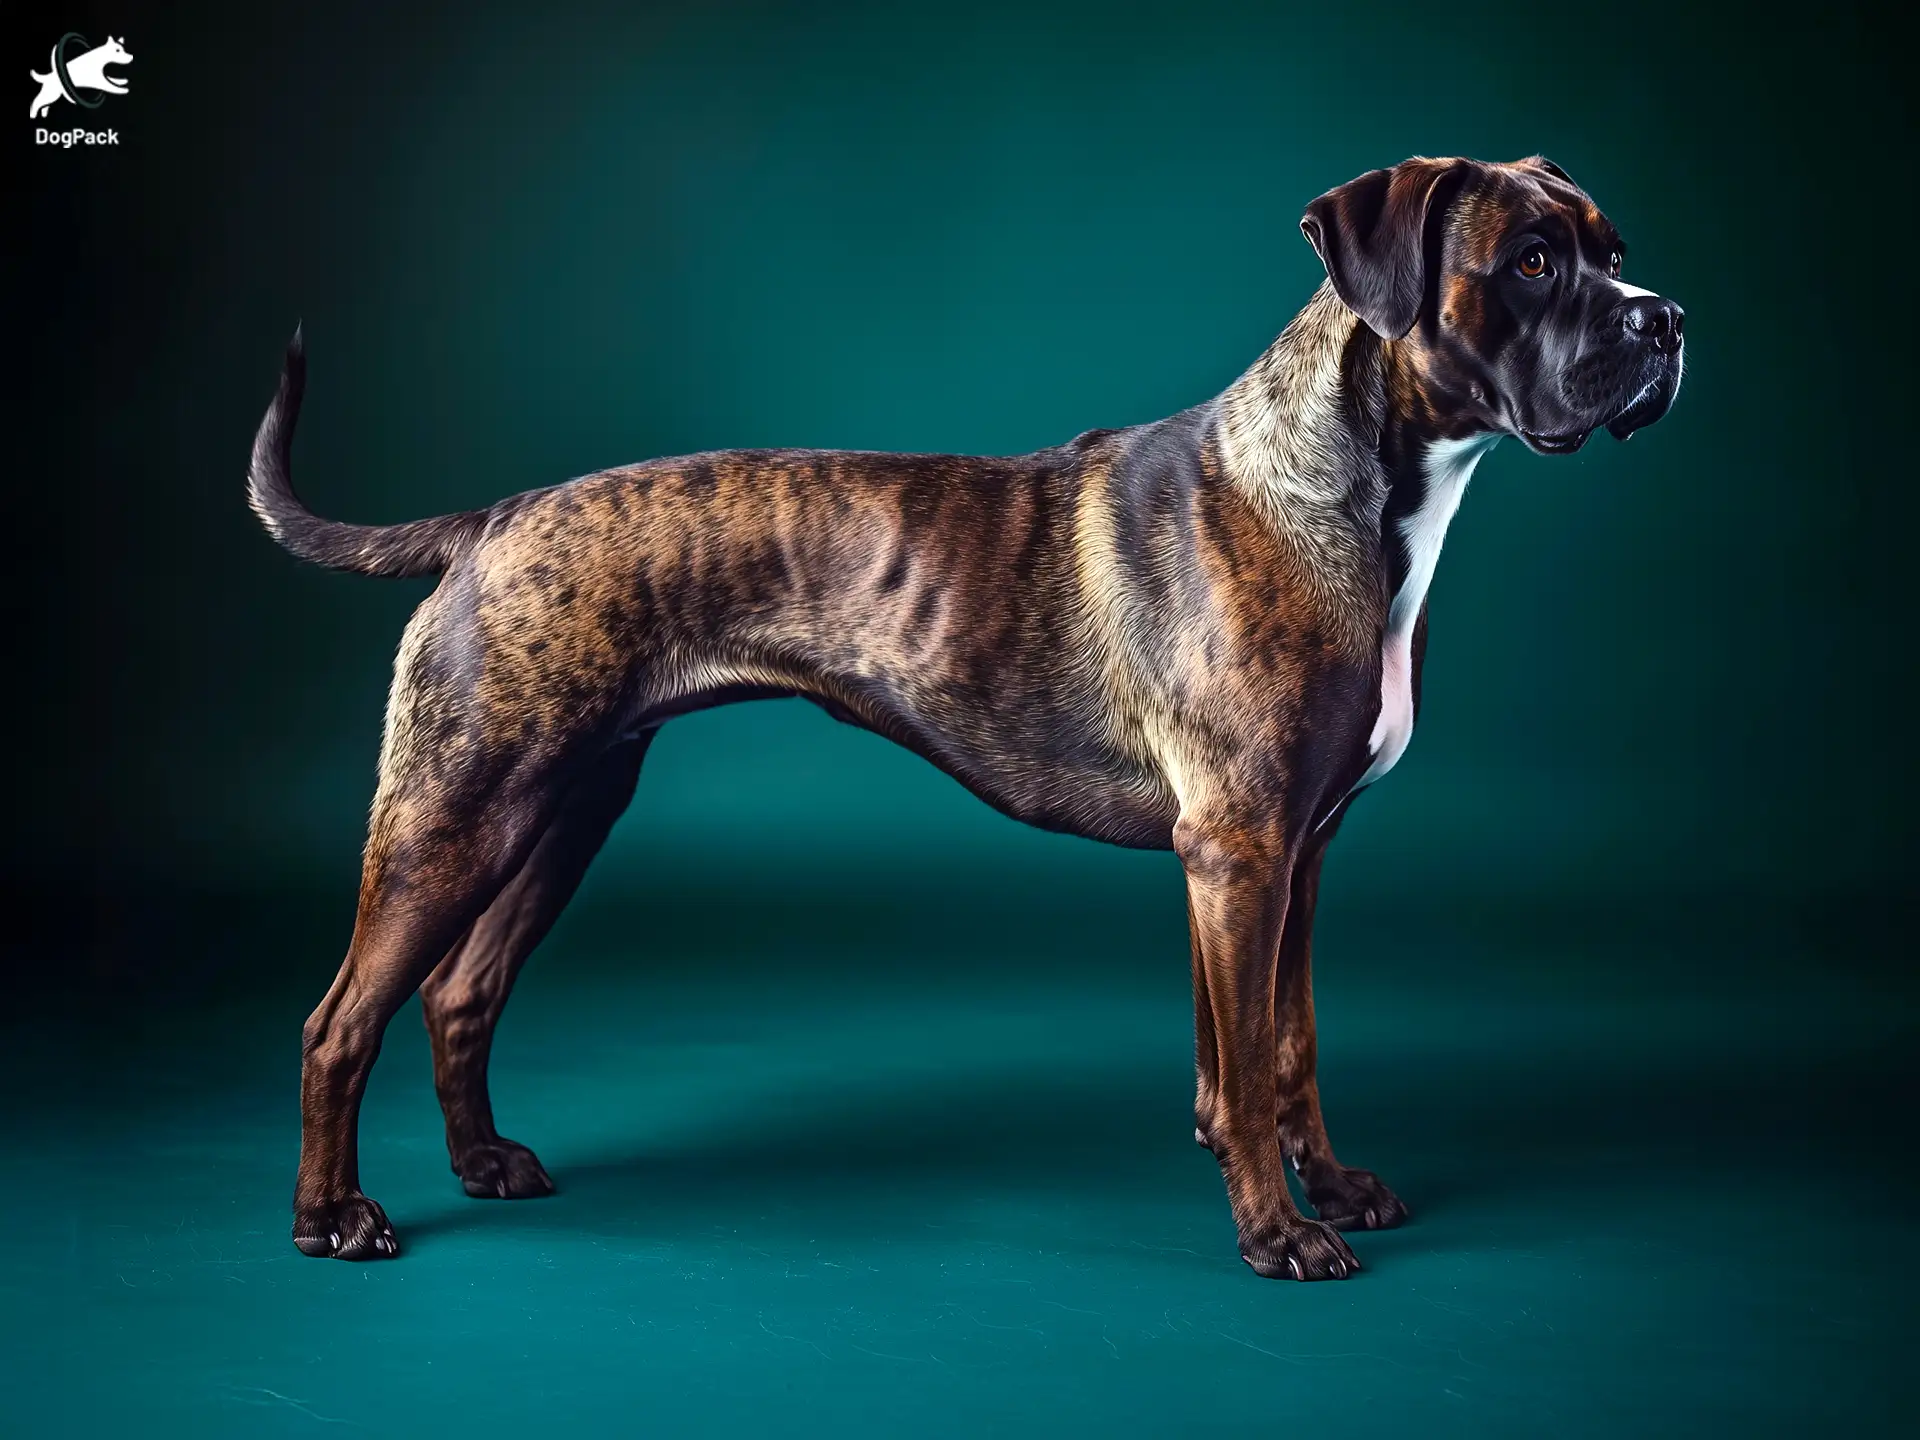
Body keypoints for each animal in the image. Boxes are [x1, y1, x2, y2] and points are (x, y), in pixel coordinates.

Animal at [251, 155, 1681, 1282]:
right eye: (1534, 261)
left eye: (1613, 251)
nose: (1664, 318)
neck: (1355, 497)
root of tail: (489, 520)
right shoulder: (1242, 855)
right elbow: (1248, 1065)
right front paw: (1280, 1234)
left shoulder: (1295, 860)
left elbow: (1287, 1051)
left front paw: (1328, 1187)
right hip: (453, 821)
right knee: (338, 1022)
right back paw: (332, 1217)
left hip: (561, 815)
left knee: (459, 994)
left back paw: (484, 1162)